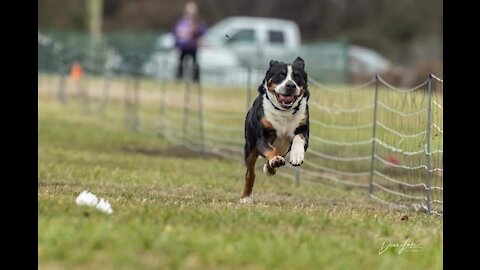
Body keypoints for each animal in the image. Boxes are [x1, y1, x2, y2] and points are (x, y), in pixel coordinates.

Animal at [242, 56, 310, 202]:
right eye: (281, 75)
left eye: (297, 76)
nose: (290, 85)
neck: (284, 112)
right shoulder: (262, 138)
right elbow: (270, 149)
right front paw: (275, 160)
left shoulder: (303, 128)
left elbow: (299, 138)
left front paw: (297, 156)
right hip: (250, 148)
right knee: (250, 173)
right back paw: (246, 197)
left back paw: (271, 167)